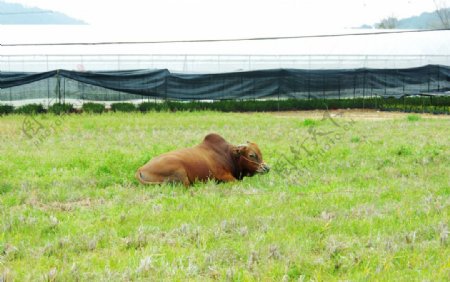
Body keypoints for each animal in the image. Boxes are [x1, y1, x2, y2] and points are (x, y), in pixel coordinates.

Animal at [135, 133, 268, 186]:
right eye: (252, 155)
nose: (267, 168)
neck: (227, 155)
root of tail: (140, 169)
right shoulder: (224, 177)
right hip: (181, 174)